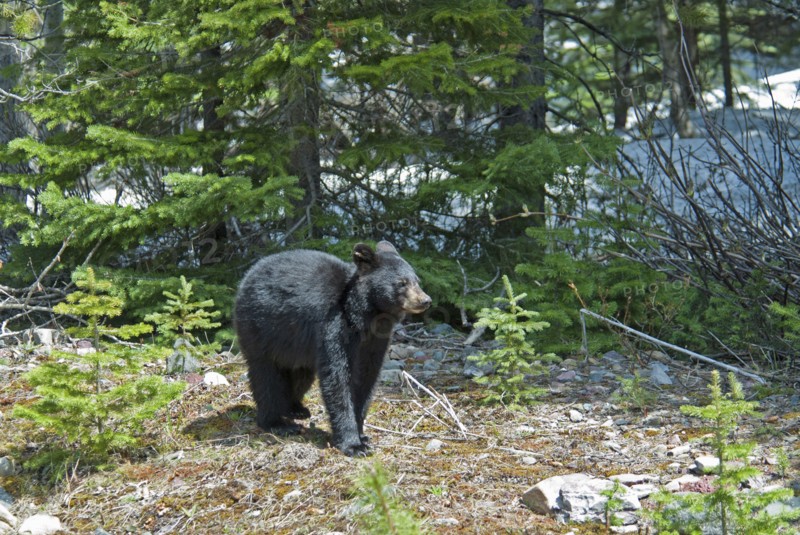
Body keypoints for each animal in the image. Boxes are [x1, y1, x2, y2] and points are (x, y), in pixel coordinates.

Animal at [234, 241, 431, 456]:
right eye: (401, 282)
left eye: (417, 280)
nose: (425, 300)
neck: (365, 317)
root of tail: (248, 276)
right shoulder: (334, 325)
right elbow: (337, 377)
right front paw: (353, 444)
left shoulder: (375, 340)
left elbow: (367, 377)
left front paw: (362, 434)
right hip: (260, 329)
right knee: (266, 378)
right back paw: (277, 423)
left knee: (301, 376)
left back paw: (296, 408)